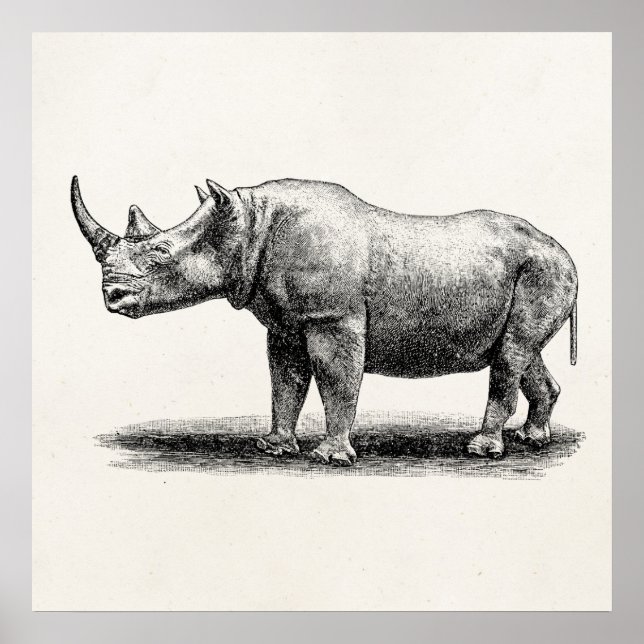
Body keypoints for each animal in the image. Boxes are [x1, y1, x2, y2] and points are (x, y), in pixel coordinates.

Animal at [71, 175, 578, 465]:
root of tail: (561, 248)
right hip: (538, 272)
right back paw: (533, 439)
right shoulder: (285, 322)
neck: (248, 226)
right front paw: (274, 447)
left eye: (159, 256)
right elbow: (285, 380)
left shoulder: (333, 317)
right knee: (521, 352)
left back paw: (482, 450)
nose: (111, 297)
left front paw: (332, 457)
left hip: (544, 270)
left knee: (512, 353)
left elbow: (336, 380)